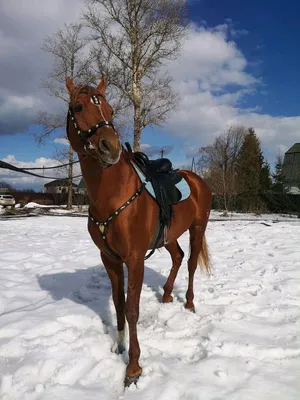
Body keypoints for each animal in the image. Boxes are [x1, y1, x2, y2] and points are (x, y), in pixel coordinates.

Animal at [66, 76, 211, 388]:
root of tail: (197, 181)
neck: (114, 196)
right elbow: (119, 304)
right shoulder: (110, 259)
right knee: (178, 257)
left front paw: (133, 368)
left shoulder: (133, 259)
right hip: (170, 235)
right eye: (78, 107)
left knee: (191, 263)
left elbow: (133, 309)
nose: (110, 147)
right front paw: (118, 346)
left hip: (198, 228)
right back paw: (167, 295)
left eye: (109, 108)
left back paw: (189, 302)